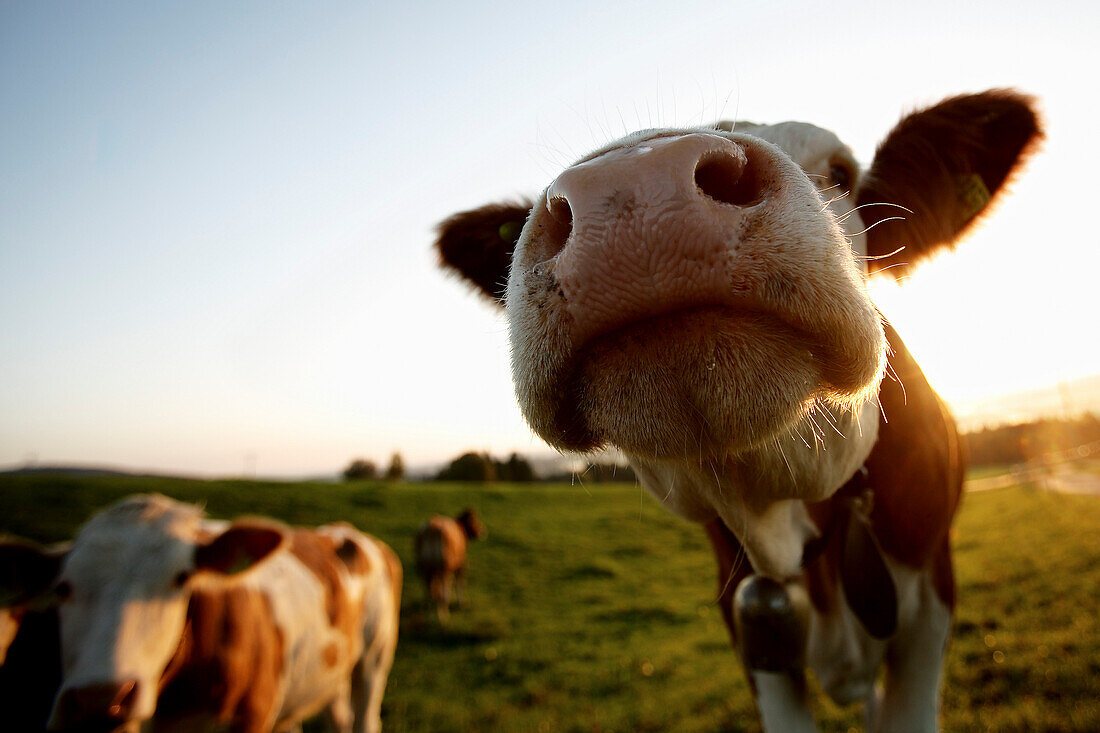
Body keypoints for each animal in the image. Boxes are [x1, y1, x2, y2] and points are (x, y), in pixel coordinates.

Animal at [3, 493, 404, 730]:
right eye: (63, 589)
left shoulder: (252, 716)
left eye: (181, 578)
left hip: (374, 659)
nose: (100, 698)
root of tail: (348, 532)